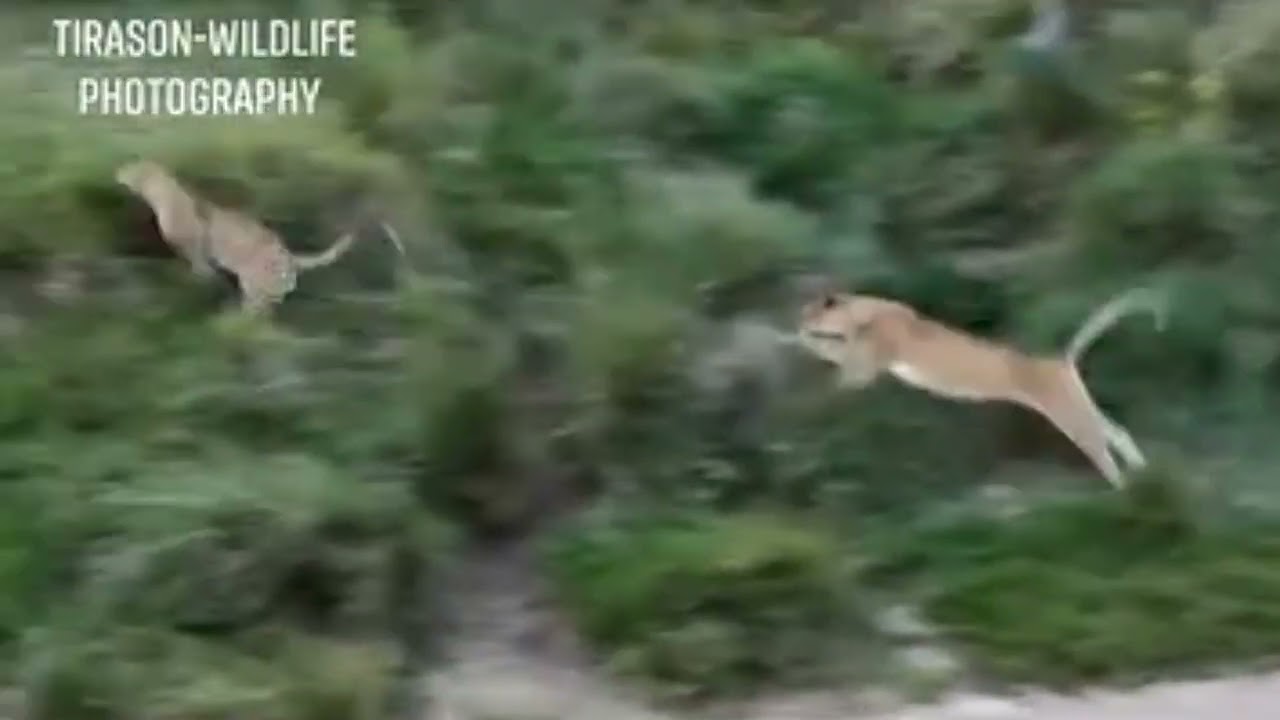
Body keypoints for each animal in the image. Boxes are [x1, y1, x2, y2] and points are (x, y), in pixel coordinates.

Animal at [115, 159, 405, 315]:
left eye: (131, 168)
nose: (118, 173)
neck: (160, 193)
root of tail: (290, 255)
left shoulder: (196, 251)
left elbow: (198, 268)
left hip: (255, 289)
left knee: (255, 315)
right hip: (266, 293)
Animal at [797, 286, 1166, 488]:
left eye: (811, 310)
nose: (800, 318)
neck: (866, 310)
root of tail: (1060, 359)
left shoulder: (866, 365)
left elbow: (835, 356)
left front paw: (801, 340)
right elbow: (833, 351)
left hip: (1067, 414)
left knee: (1103, 451)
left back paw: (1127, 487)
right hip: (1076, 406)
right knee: (1117, 433)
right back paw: (1144, 477)